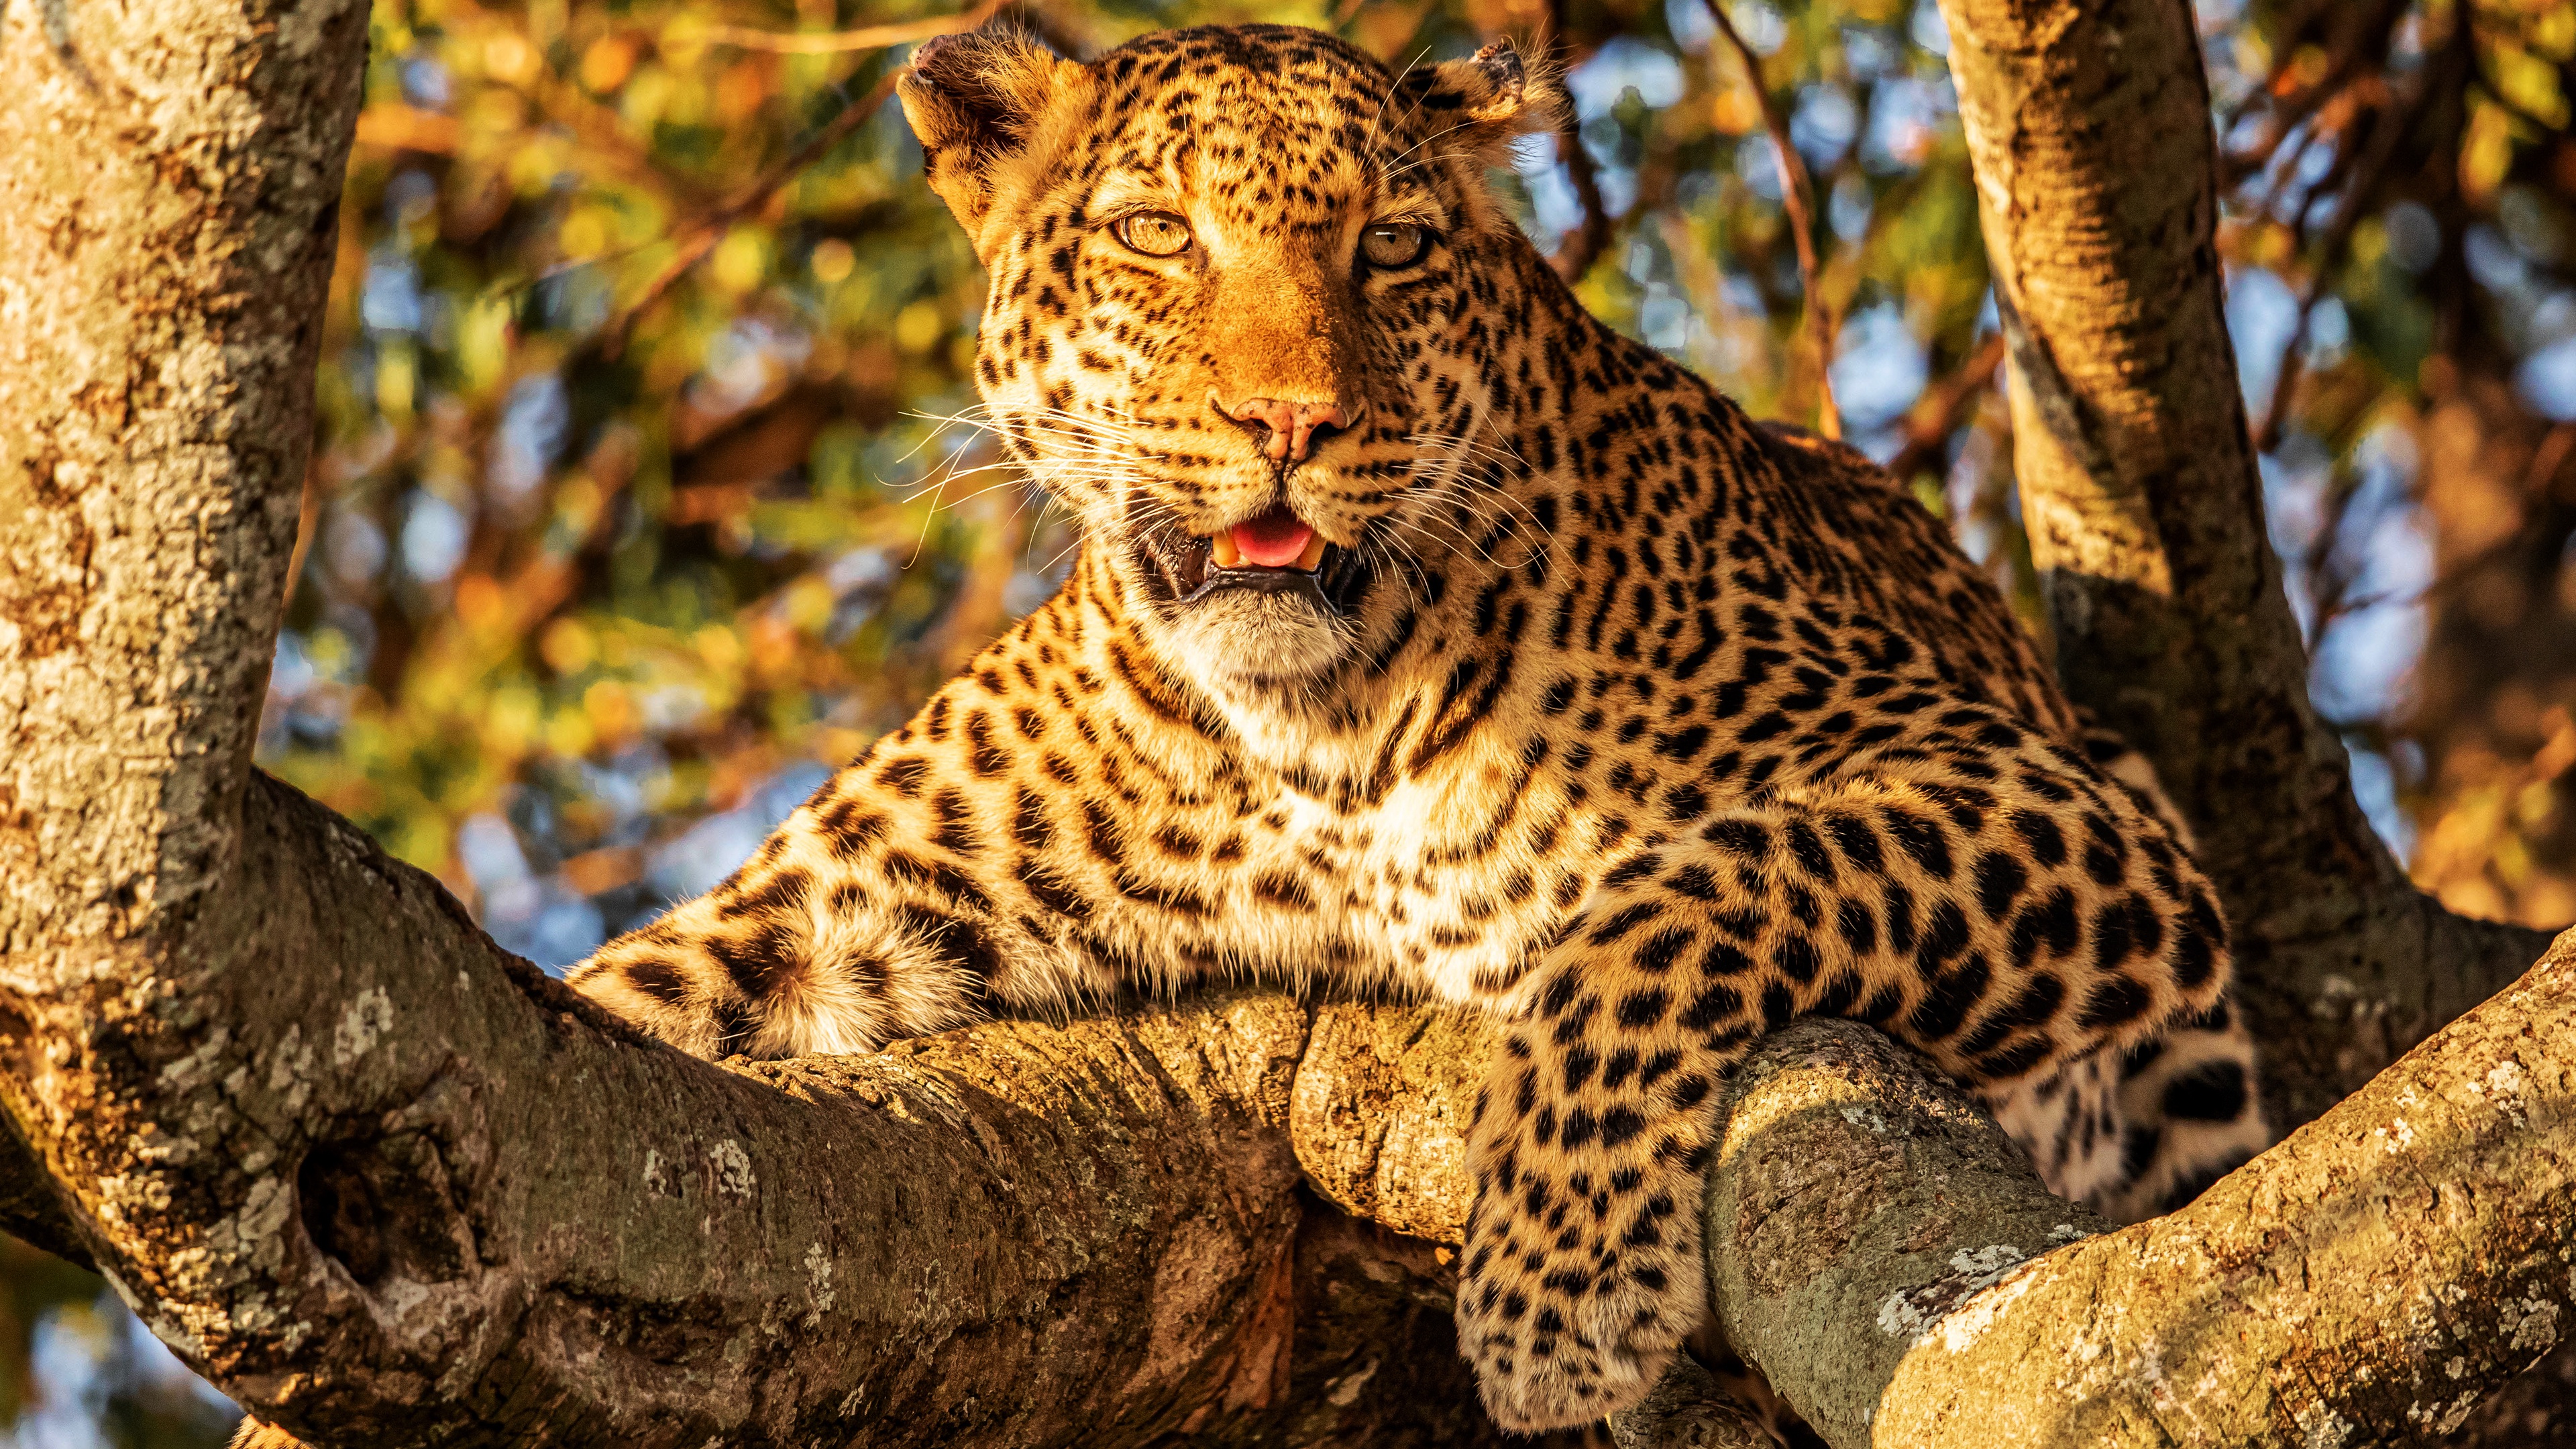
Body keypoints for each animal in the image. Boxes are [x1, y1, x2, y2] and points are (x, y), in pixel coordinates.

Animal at [563, 22, 2268, 1433]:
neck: (1315, 736)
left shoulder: (2041, 789)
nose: (1289, 424)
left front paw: (1555, 1285)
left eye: (1389, 248)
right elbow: (623, 1001)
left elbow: (1681, 895)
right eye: (1155, 233)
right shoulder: (815, 909)